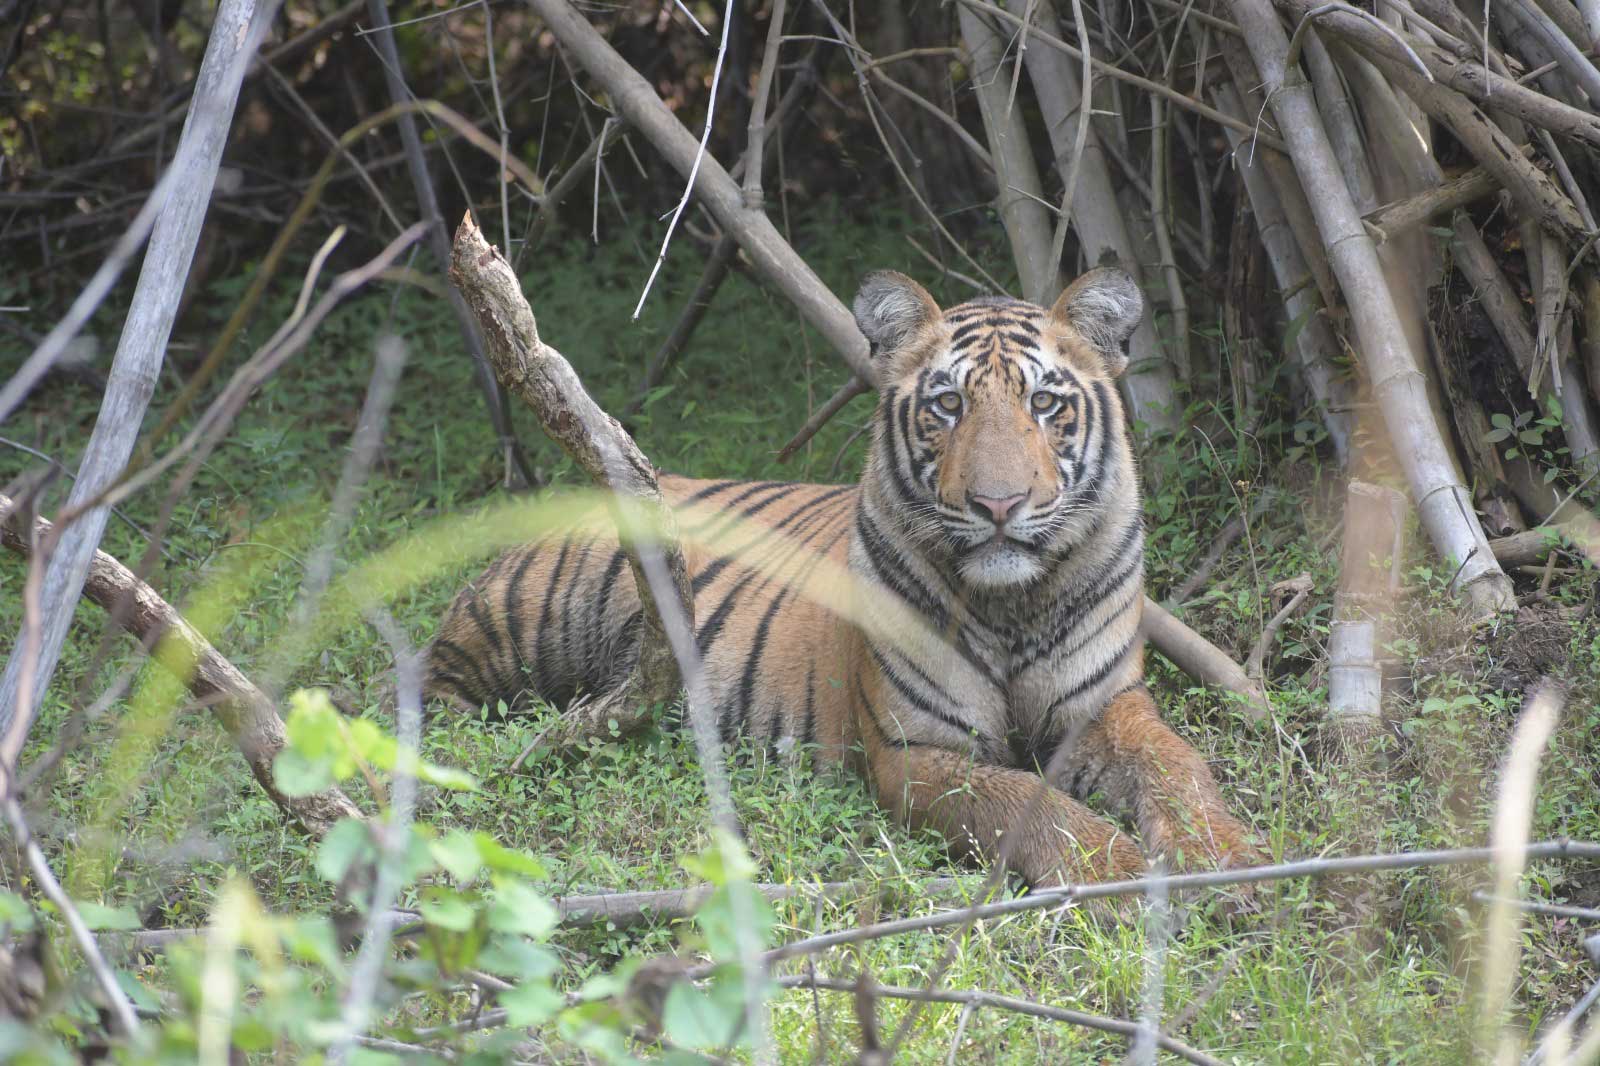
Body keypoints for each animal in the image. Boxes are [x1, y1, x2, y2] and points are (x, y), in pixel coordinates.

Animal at [421, 267, 1263, 888]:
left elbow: (1178, 764)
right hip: (516, 622)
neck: (1012, 604)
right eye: (947, 405)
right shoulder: (914, 751)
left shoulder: (1108, 707)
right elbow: (1028, 800)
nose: (998, 505)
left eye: (1045, 403)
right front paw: (1120, 873)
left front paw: (1228, 861)